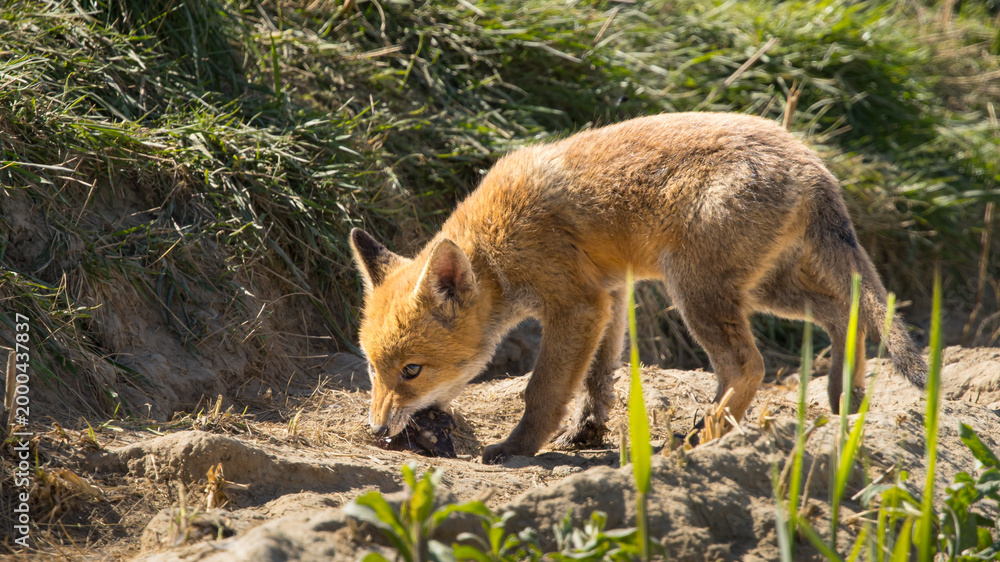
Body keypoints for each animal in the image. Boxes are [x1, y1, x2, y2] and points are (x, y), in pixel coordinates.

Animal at [350, 112, 927, 464]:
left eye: (412, 371)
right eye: (372, 371)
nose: (376, 430)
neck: (495, 245)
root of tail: (811, 162)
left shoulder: (577, 304)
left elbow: (545, 390)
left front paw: (518, 447)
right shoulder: (610, 295)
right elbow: (598, 378)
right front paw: (589, 431)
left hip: (696, 291)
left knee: (751, 365)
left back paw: (706, 436)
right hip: (760, 290)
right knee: (840, 310)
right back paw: (838, 397)